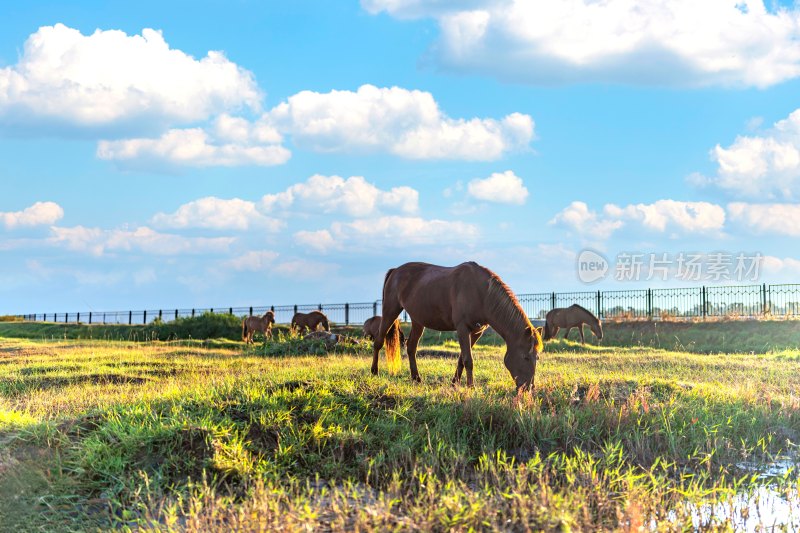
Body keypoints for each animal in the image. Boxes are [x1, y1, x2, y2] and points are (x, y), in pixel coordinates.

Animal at [374, 260, 544, 390]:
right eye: (525, 357)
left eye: (537, 357)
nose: (529, 387)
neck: (482, 293)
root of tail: (395, 271)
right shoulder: (462, 328)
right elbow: (468, 359)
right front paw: (471, 386)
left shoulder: (476, 332)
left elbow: (462, 359)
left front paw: (455, 383)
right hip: (390, 310)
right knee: (378, 341)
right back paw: (374, 371)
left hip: (417, 321)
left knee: (411, 348)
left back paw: (416, 378)